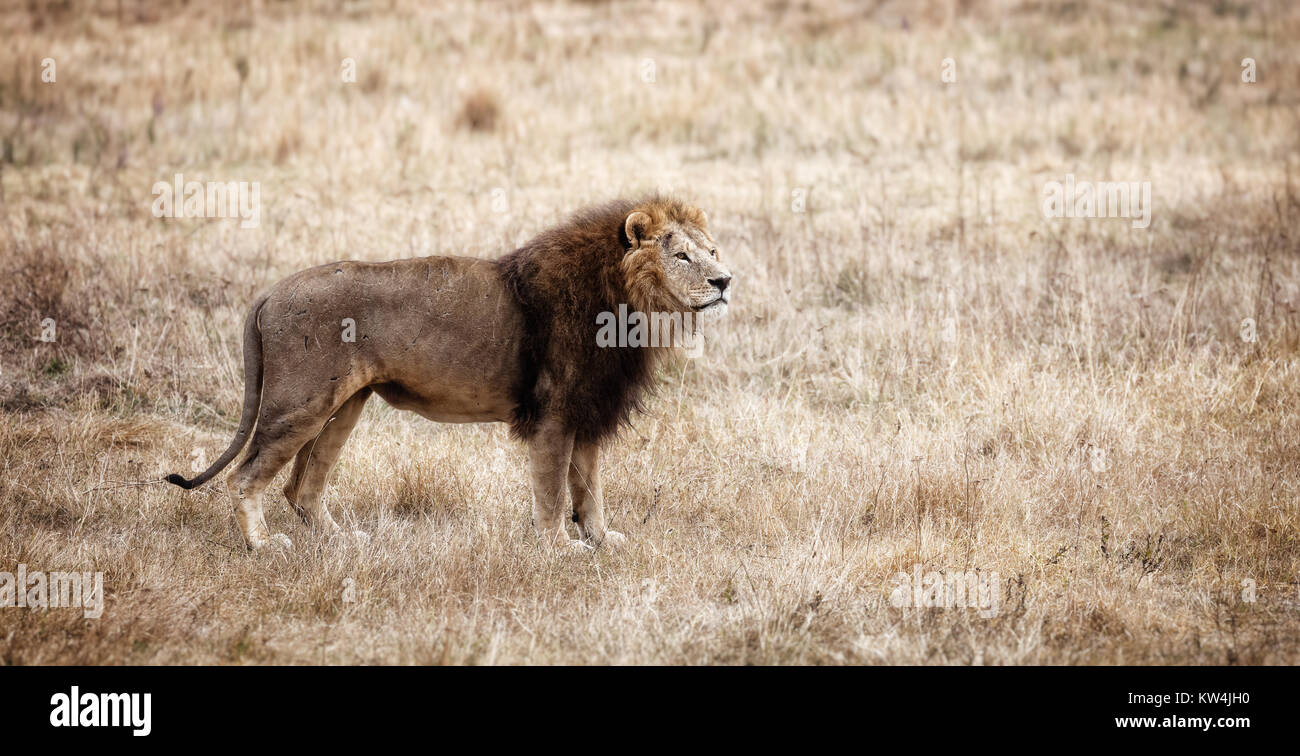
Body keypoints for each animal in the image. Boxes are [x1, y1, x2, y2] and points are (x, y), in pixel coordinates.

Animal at [165, 196, 733, 553]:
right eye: (681, 255)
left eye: (711, 251)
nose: (725, 280)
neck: (628, 306)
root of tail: (271, 290)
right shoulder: (553, 414)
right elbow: (553, 491)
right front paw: (559, 547)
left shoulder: (587, 406)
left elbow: (588, 487)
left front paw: (599, 539)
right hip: (299, 403)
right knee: (246, 477)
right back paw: (262, 546)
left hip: (344, 405)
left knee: (302, 487)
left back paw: (340, 541)